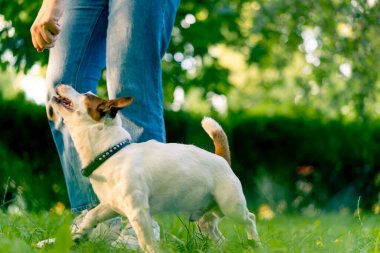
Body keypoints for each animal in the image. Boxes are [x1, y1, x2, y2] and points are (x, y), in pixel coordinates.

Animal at [51, 84, 262, 251]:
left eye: (86, 95)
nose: (61, 84)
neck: (111, 153)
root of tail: (221, 158)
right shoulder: (110, 206)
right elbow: (92, 215)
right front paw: (79, 234)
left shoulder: (138, 213)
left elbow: (148, 243)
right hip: (206, 217)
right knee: (218, 237)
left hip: (231, 205)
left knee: (250, 218)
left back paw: (256, 244)